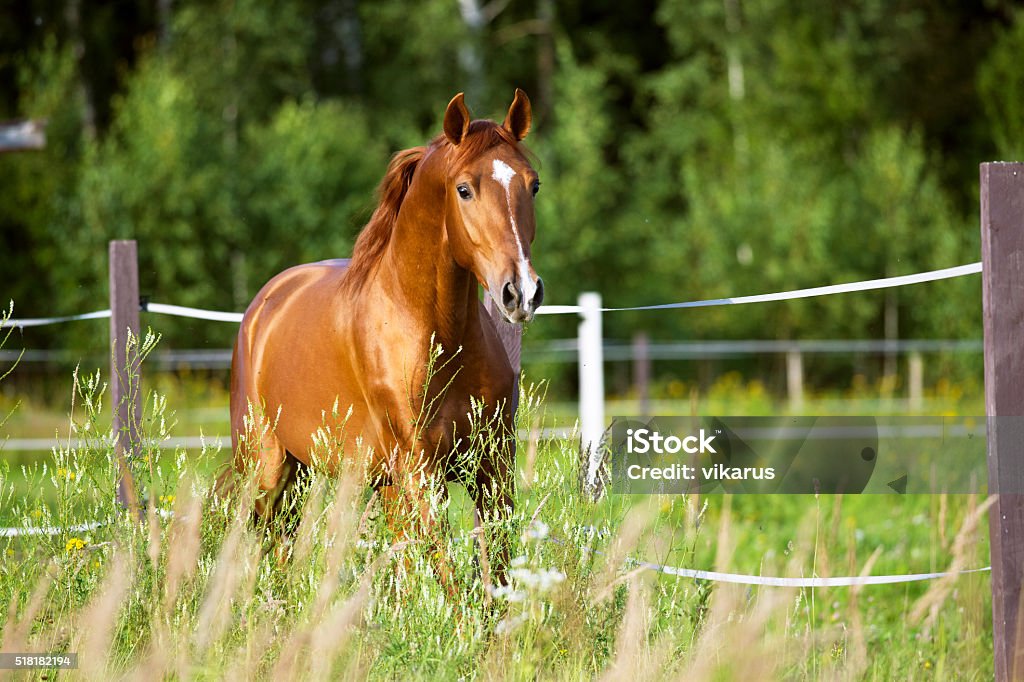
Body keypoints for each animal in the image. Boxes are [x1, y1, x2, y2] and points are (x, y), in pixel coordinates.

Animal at [227, 86, 540, 585]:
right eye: (464, 189)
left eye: (533, 185)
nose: (521, 292)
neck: (437, 336)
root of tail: (264, 305)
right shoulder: (420, 471)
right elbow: (449, 576)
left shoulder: (491, 468)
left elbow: (496, 570)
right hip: (267, 467)